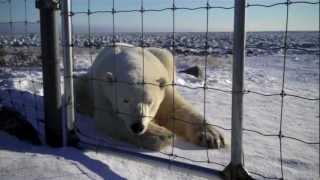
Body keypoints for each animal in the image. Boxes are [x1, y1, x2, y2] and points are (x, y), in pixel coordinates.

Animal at [74, 45, 225, 150]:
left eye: (150, 102)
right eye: (125, 100)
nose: (137, 126)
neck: (132, 60)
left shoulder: (164, 86)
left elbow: (176, 109)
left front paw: (212, 137)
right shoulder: (102, 87)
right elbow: (108, 118)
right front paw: (163, 135)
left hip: (163, 57)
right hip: (87, 83)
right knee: (79, 90)